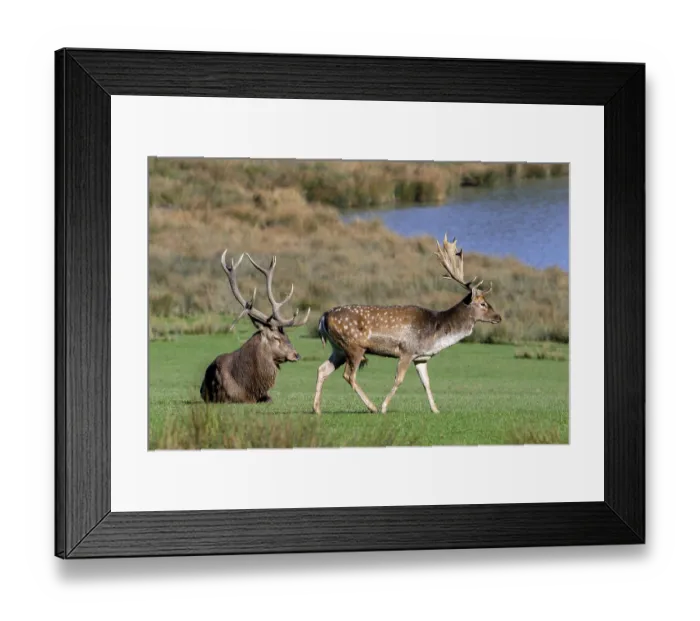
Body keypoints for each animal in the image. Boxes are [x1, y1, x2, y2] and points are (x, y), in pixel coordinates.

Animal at [200, 250, 310, 404]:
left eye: (286, 336)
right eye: (276, 337)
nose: (296, 355)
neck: (247, 386)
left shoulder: (265, 395)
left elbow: (269, 399)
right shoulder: (227, 398)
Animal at [312, 235, 502, 415]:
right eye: (483, 304)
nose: (499, 317)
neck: (435, 332)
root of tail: (324, 317)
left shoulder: (421, 358)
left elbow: (426, 383)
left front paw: (435, 409)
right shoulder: (406, 351)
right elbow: (399, 380)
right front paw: (384, 407)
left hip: (338, 348)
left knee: (322, 369)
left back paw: (317, 408)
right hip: (354, 347)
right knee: (349, 375)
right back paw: (372, 407)